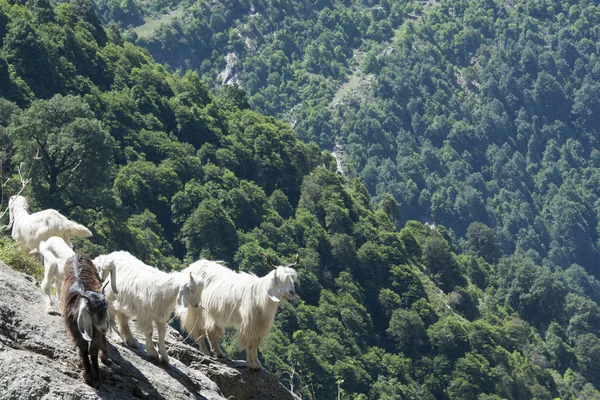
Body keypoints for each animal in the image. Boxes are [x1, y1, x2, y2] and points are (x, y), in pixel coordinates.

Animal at [61, 253, 112, 388]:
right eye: (92, 311)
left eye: (106, 309)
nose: (105, 326)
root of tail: (77, 254)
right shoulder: (75, 328)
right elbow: (83, 348)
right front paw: (88, 375)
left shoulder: (96, 330)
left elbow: (93, 350)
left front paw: (96, 377)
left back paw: (105, 357)